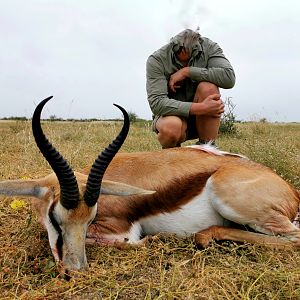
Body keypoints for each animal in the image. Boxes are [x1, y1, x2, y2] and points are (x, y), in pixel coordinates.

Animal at [0, 97, 298, 276]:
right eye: (55, 218)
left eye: (90, 218)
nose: (74, 270)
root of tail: (290, 191)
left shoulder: (121, 230)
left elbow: (125, 241)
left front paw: (151, 240)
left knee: (294, 238)